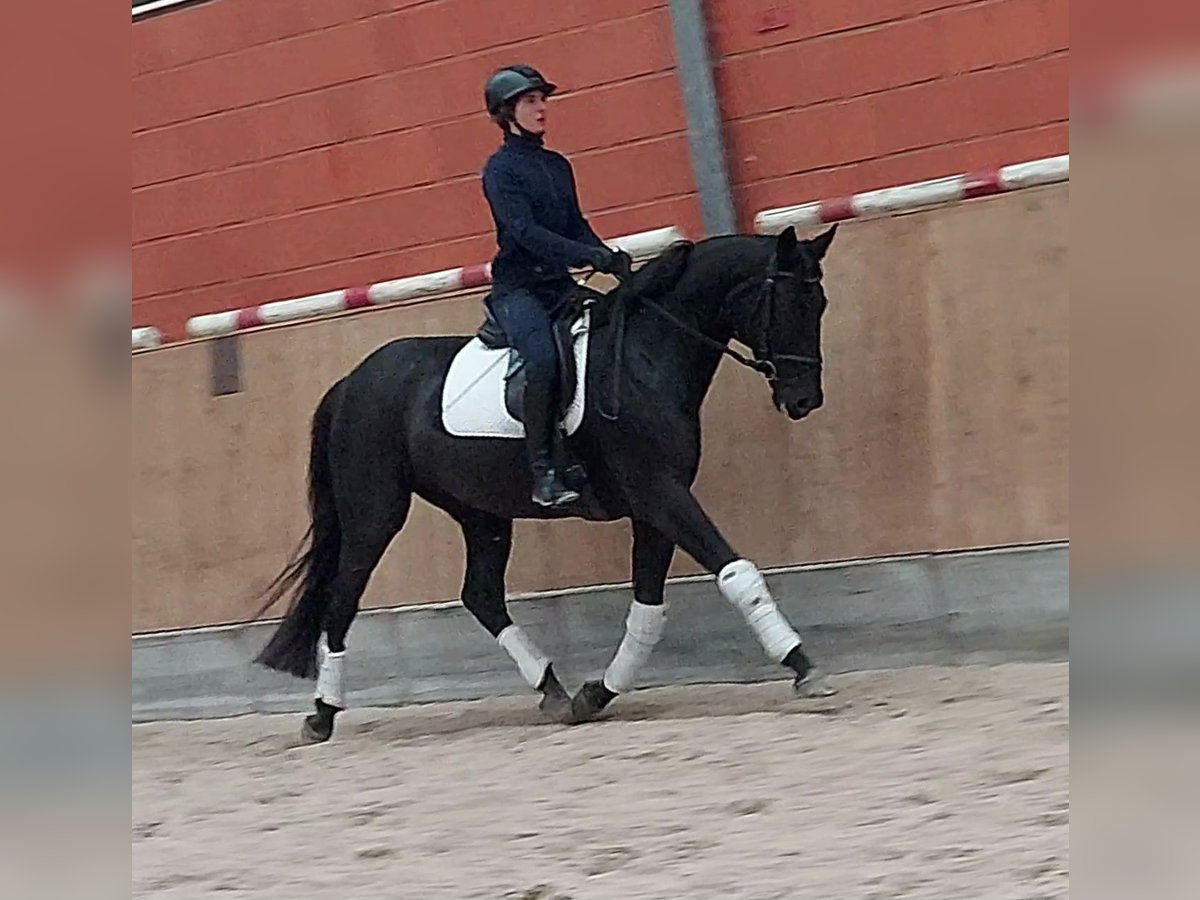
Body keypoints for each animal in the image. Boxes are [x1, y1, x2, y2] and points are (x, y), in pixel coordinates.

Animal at [253, 223, 839, 743]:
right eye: (789, 302)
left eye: (821, 304)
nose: (804, 400)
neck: (646, 355)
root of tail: (352, 381)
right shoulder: (661, 494)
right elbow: (735, 571)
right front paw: (804, 667)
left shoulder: (655, 506)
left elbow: (648, 610)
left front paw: (596, 694)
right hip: (375, 512)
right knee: (343, 598)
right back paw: (322, 714)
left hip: (480, 510)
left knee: (481, 594)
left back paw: (553, 690)